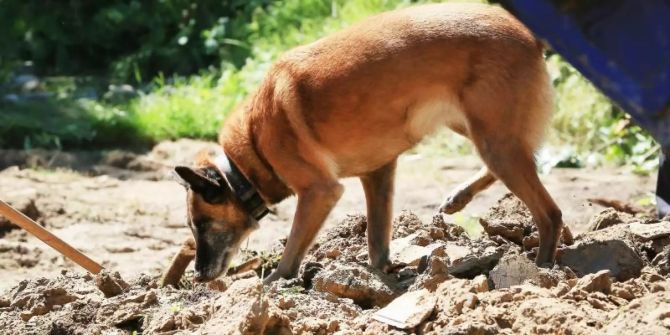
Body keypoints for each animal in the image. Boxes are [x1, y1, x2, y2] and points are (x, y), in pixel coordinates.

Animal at [173, 3, 560, 284]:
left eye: (201, 225)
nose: (199, 275)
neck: (244, 162)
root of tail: (529, 35)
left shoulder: (319, 192)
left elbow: (293, 249)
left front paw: (274, 284)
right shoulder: (378, 174)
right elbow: (376, 243)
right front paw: (381, 276)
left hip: (494, 141)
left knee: (550, 214)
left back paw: (543, 271)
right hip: (477, 129)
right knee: (519, 162)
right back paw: (459, 196)